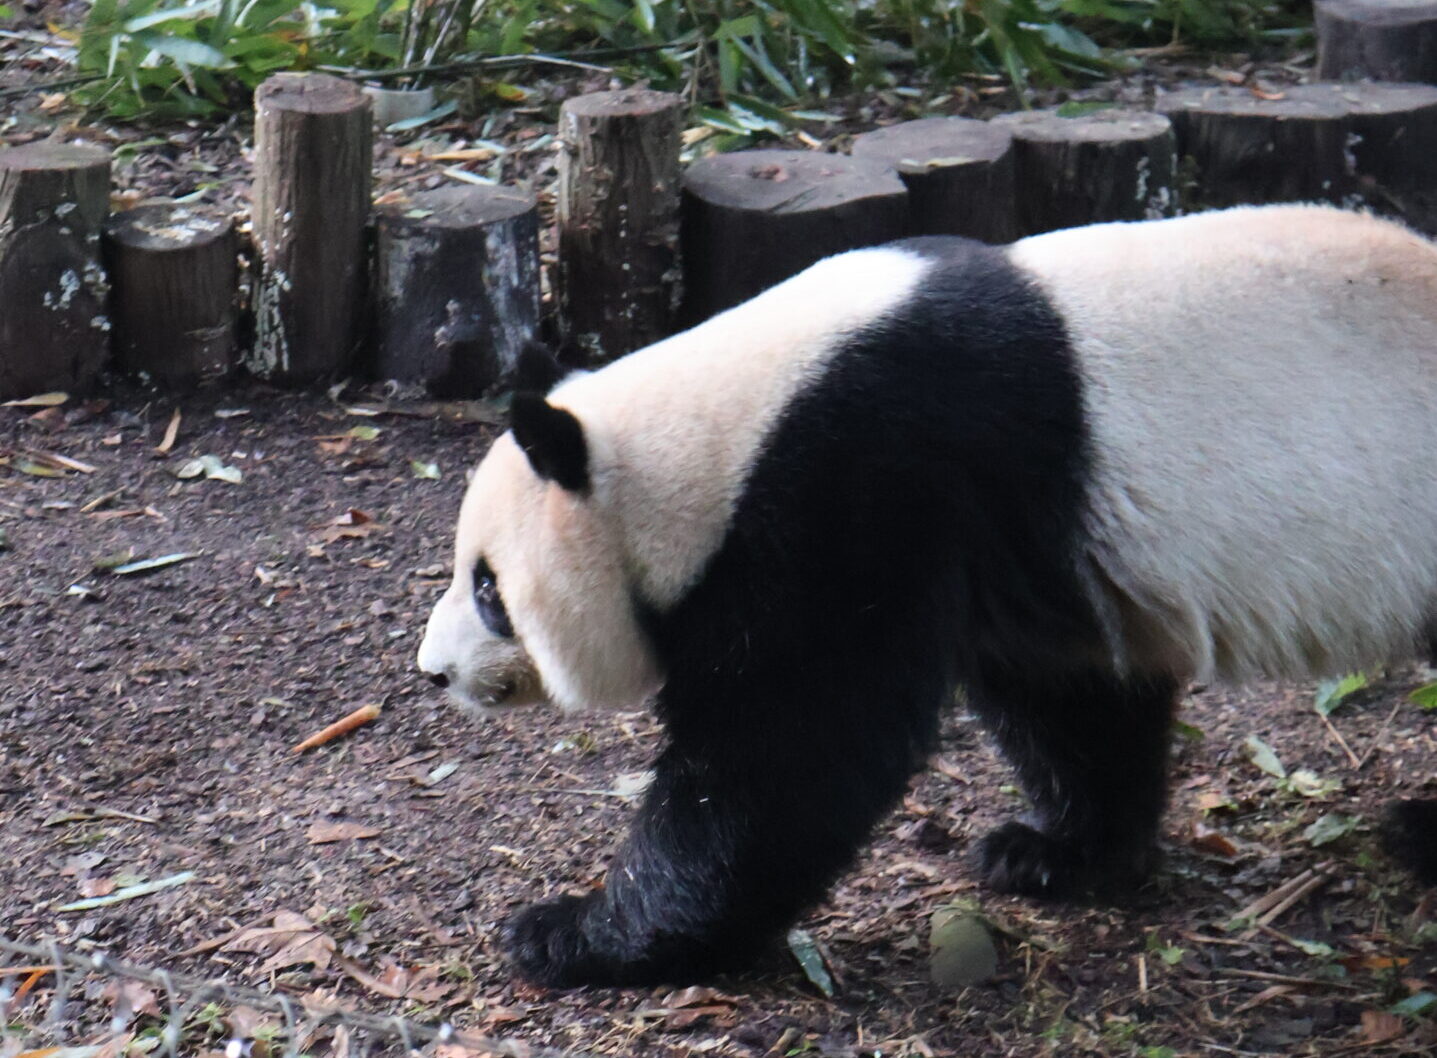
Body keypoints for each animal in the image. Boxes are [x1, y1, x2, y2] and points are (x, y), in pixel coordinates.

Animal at [418, 203, 1437, 988]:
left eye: (488, 588)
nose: (433, 672)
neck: (716, 432)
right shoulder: (1026, 541)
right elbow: (1067, 693)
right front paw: (1057, 852)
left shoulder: (856, 479)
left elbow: (793, 746)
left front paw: (572, 933)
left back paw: (1420, 832)